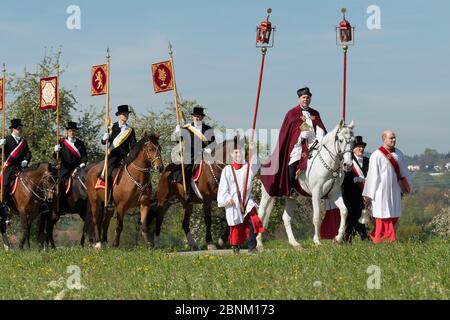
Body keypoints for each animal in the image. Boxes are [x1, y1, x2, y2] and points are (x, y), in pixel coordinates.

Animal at [256, 120, 356, 248]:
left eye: (353, 141)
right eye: (341, 140)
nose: (348, 165)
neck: (330, 166)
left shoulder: (335, 193)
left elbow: (344, 211)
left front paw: (337, 238)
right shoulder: (316, 193)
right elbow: (317, 217)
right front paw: (317, 241)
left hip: (291, 197)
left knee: (286, 218)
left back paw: (294, 244)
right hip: (267, 194)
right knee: (261, 214)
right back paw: (259, 244)